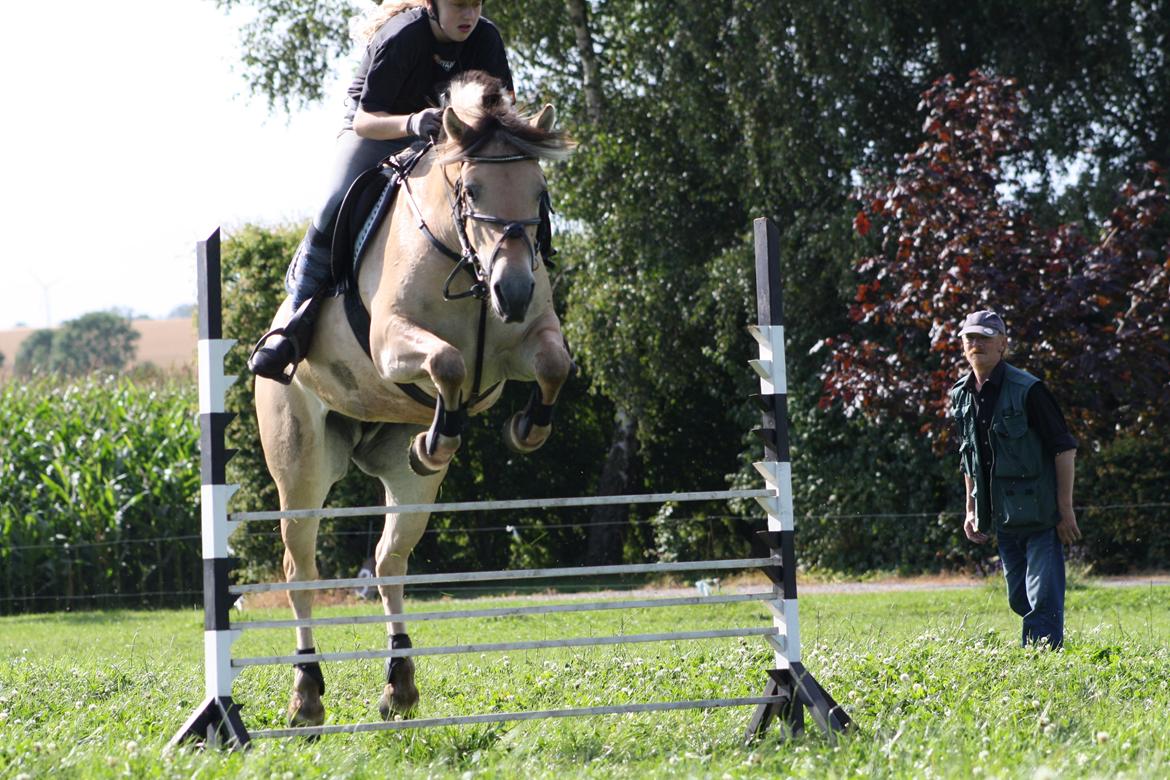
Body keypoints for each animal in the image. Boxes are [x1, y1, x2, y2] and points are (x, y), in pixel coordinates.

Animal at [253, 70, 573, 729]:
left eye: (539, 191)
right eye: (471, 187)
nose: (514, 290)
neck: (469, 265)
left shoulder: (524, 344)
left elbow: (554, 363)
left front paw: (522, 429)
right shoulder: (391, 344)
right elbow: (448, 361)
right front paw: (442, 436)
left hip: (402, 482)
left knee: (389, 561)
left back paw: (399, 683)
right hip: (301, 466)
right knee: (301, 570)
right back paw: (307, 693)